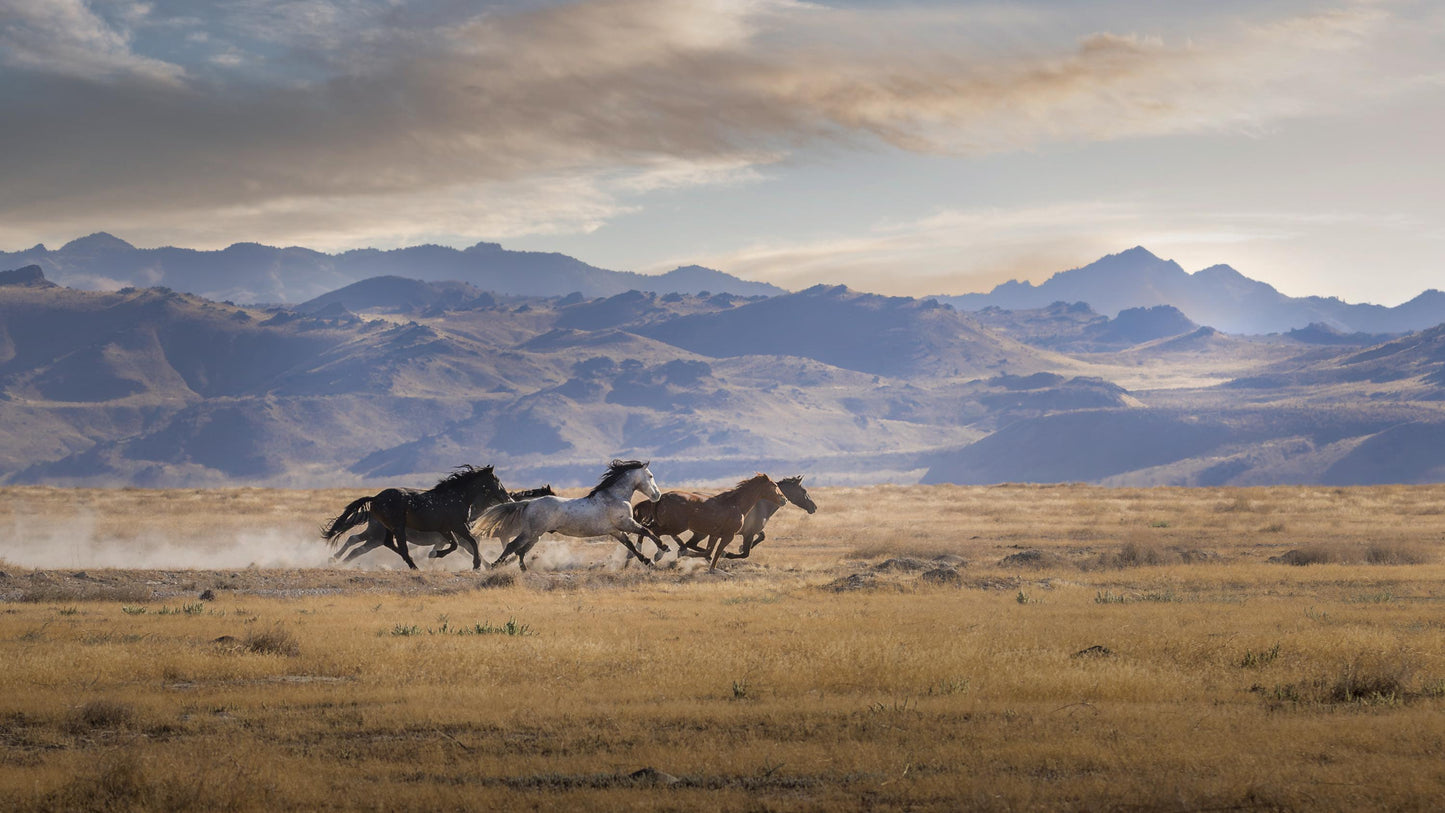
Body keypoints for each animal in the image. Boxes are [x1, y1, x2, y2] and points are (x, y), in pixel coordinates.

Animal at [322, 464, 514, 571]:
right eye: (497, 481)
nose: (509, 499)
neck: (458, 496)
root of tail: (375, 499)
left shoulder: (445, 530)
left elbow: (456, 545)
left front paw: (435, 554)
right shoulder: (457, 527)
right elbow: (470, 544)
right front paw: (476, 564)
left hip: (385, 530)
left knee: (381, 543)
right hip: (393, 529)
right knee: (389, 546)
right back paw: (414, 565)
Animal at [479, 459, 670, 571]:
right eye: (650, 476)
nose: (657, 495)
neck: (614, 496)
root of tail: (529, 503)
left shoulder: (616, 530)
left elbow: (630, 544)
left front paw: (648, 561)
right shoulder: (626, 523)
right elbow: (646, 531)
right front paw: (662, 550)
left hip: (535, 535)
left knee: (520, 550)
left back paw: (523, 569)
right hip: (530, 533)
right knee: (513, 546)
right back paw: (494, 566)